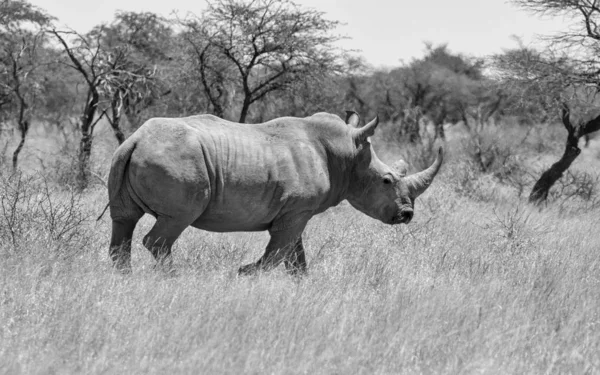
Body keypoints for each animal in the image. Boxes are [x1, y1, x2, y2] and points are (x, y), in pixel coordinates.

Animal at [105, 111, 442, 276]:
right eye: (387, 180)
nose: (407, 215)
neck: (347, 155)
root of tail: (134, 140)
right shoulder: (296, 210)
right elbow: (278, 253)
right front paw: (242, 273)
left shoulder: (295, 212)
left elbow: (295, 256)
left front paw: (304, 287)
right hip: (177, 162)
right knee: (173, 224)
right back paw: (173, 278)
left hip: (128, 156)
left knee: (124, 220)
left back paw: (123, 277)